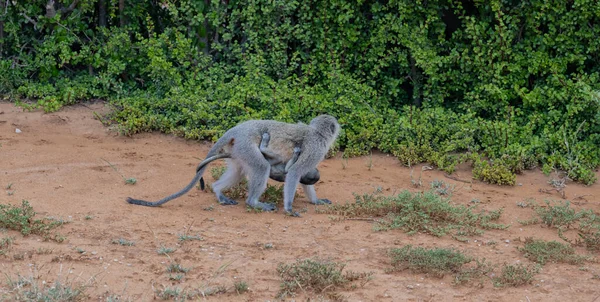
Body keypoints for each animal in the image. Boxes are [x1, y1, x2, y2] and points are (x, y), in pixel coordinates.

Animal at [127, 114, 340, 216]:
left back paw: (218, 191)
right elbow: (295, 172)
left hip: (238, 149)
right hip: (246, 144)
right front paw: (288, 209)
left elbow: (302, 175)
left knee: (239, 171)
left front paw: (316, 201)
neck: (317, 133)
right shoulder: (316, 148)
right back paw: (253, 202)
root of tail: (237, 129)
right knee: (261, 167)